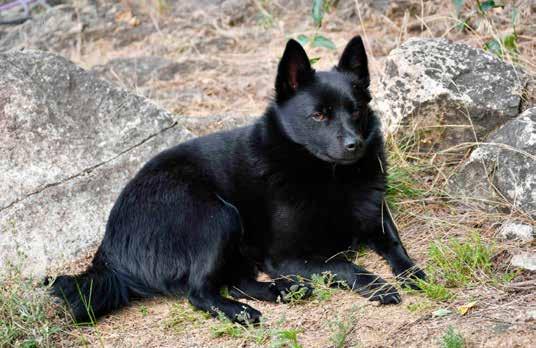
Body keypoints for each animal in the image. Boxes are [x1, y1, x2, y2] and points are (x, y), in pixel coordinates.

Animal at [52, 35, 426, 324]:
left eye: (356, 110)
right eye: (319, 115)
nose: (354, 145)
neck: (329, 176)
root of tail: (108, 249)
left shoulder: (376, 217)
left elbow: (395, 244)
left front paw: (411, 272)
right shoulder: (285, 257)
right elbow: (345, 265)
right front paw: (378, 286)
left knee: (233, 280)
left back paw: (283, 290)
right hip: (217, 216)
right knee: (200, 292)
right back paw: (242, 312)